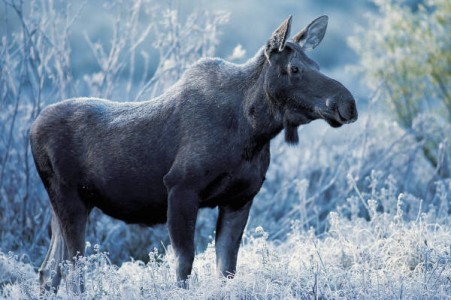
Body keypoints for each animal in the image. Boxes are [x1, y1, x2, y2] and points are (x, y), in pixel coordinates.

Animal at [30, 15, 358, 292]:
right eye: (294, 69)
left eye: (317, 64)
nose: (347, 104)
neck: (254, 130)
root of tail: (31, 130)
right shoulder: (181, 189)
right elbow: (184, 265)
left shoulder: (240, 198)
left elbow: (226, 267)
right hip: (69, 199)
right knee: (73, 270)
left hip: (70, 205)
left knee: (49, 269)